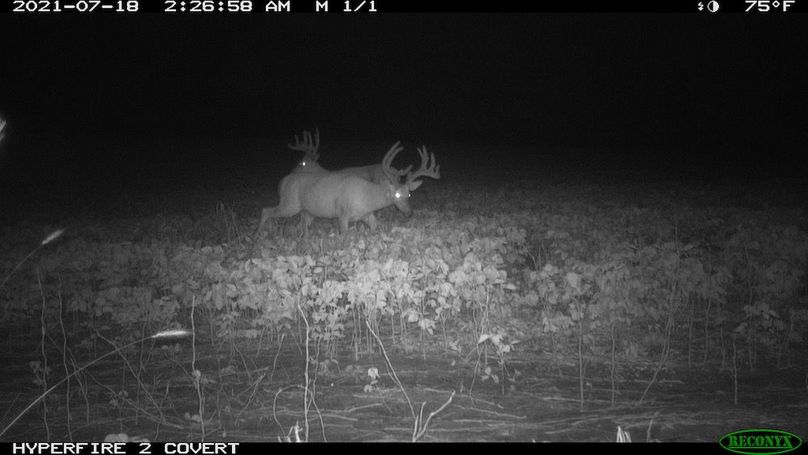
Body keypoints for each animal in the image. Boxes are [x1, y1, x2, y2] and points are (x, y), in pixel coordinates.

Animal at [257, 141, 440, 234]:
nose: (409, 213)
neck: (366, 197)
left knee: (300, 225)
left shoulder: (367, 215)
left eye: (409, 195)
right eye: (396, 195)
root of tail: (283, 181)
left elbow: (376, 226)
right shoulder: (342, 214)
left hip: (305, 211)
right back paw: (260, 232)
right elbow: (344, 235)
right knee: (266, 210)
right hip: (290, 204)